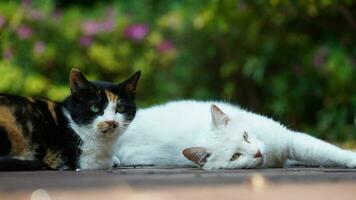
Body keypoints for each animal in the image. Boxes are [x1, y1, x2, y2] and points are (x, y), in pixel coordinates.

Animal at [115, 101, 356, 170]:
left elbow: (326, 150)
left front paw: (350, 158)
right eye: (235, 156)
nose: (257, 152)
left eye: (246, 136)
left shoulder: (290, 140)